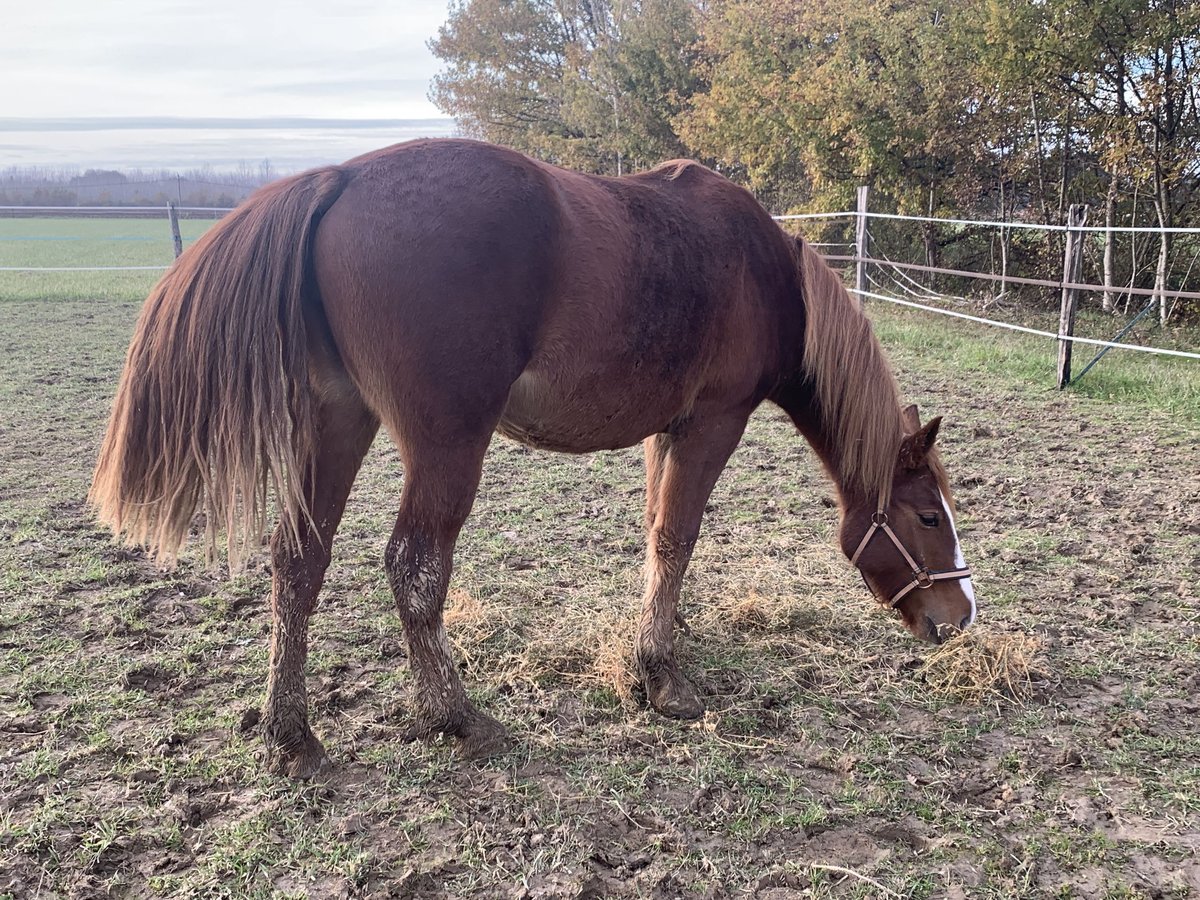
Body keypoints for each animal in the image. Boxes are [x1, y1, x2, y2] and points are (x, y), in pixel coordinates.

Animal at [90, 139, 976, 778]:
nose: (960, 617)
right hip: (447, 442)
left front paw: (665, 636)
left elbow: (658, 537)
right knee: (414, 566)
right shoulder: (714, 422)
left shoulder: (665, 430)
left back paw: (290, 734)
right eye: (927, 516)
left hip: (337, 422)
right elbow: (677, 536)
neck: (765, 274)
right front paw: (663, 676)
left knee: (297, 562)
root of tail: (341, 178)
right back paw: (455, 716)